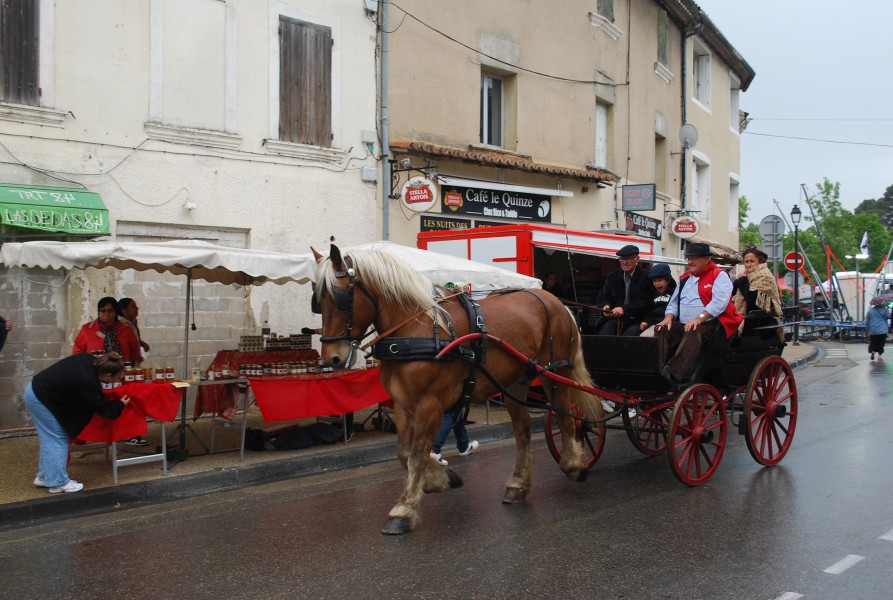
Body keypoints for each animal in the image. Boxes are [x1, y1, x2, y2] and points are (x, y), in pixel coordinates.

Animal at [310, 244, 604, 536]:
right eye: (317, 301)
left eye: (340, 297)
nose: (331, 358)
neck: (416, 330)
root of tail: (557, 302)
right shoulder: (404, 405)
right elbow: (404, 453)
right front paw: (440, 480)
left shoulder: (429, 404)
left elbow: (416, 454)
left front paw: (405, 510)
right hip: (515, 382)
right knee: (523, 430)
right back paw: (518, 484)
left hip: (554, 373)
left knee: (565, 418)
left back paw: (573, 465)